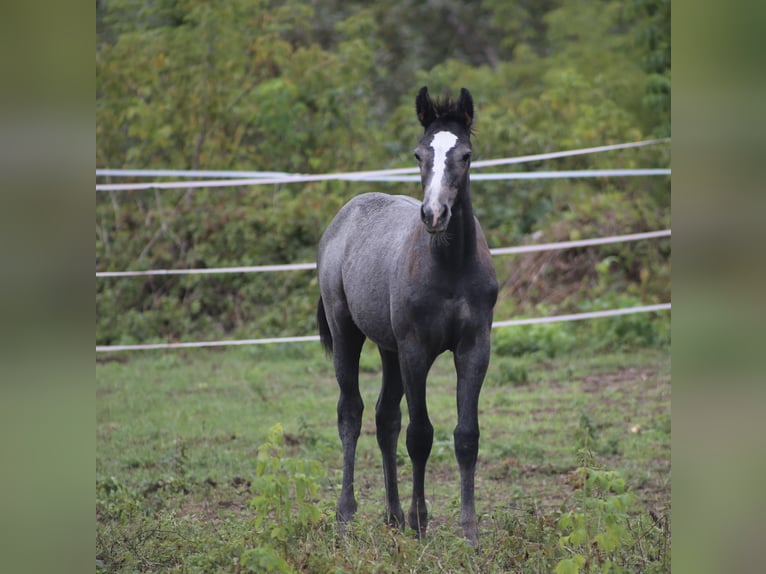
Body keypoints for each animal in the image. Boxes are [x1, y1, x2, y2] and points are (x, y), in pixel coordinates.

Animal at [316, 86, 498, 548]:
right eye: (419, 154)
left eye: (465, 154)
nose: (434, 215)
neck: (450, 266)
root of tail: (344, 215)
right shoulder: (417, 350)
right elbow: (420, 435)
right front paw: (420, 523)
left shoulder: (474, 348)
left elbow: (465, 436)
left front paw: (469, 531)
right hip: (347, 334)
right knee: (352, 413)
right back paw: (347, 514)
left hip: (388, 348)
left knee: (385, 419)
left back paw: (393, 516)